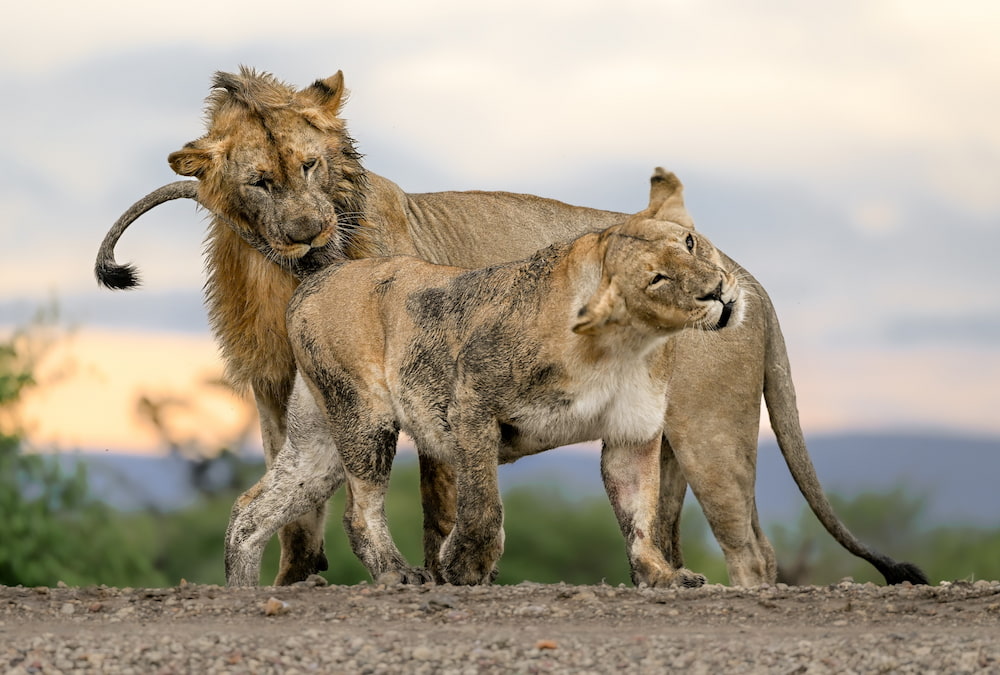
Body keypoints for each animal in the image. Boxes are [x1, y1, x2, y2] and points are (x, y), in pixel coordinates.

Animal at [225, 170, 744, 587]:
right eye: (657, 279)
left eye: (690, 243)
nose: (719, 291)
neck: (626, 346)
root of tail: (324, 275)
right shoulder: (471, 405)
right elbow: (482, 504)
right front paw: (463, 566)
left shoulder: (631, 434)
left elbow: (640, 516)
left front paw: (663, 576)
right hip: (362, 419)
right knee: (359, 510)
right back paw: (398, 573)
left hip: (318, 440)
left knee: (251, 509)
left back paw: (241, 588)